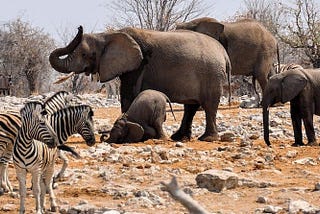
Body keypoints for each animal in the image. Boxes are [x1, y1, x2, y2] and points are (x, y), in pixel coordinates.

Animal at [49, 25, 230, 142]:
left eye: (86, 54)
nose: (79, 27)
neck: (107, 35)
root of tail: (224, 53)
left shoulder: (139, 64)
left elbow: (128, 95)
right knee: (191, 106)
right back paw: (180, 138)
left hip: (212, 74)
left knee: (209, 105)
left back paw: (207, 139)